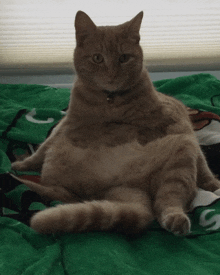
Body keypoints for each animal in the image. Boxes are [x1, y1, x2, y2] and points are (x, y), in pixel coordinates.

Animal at [11, 9, 220, 236]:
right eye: (97, 58)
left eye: (123, 58)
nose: (112, 75)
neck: (109, 101)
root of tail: (131, 188)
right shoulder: (68, 124)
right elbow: (44, 148)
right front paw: (24, 163)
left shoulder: (169, 123)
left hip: (181, 151)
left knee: (169, 199)